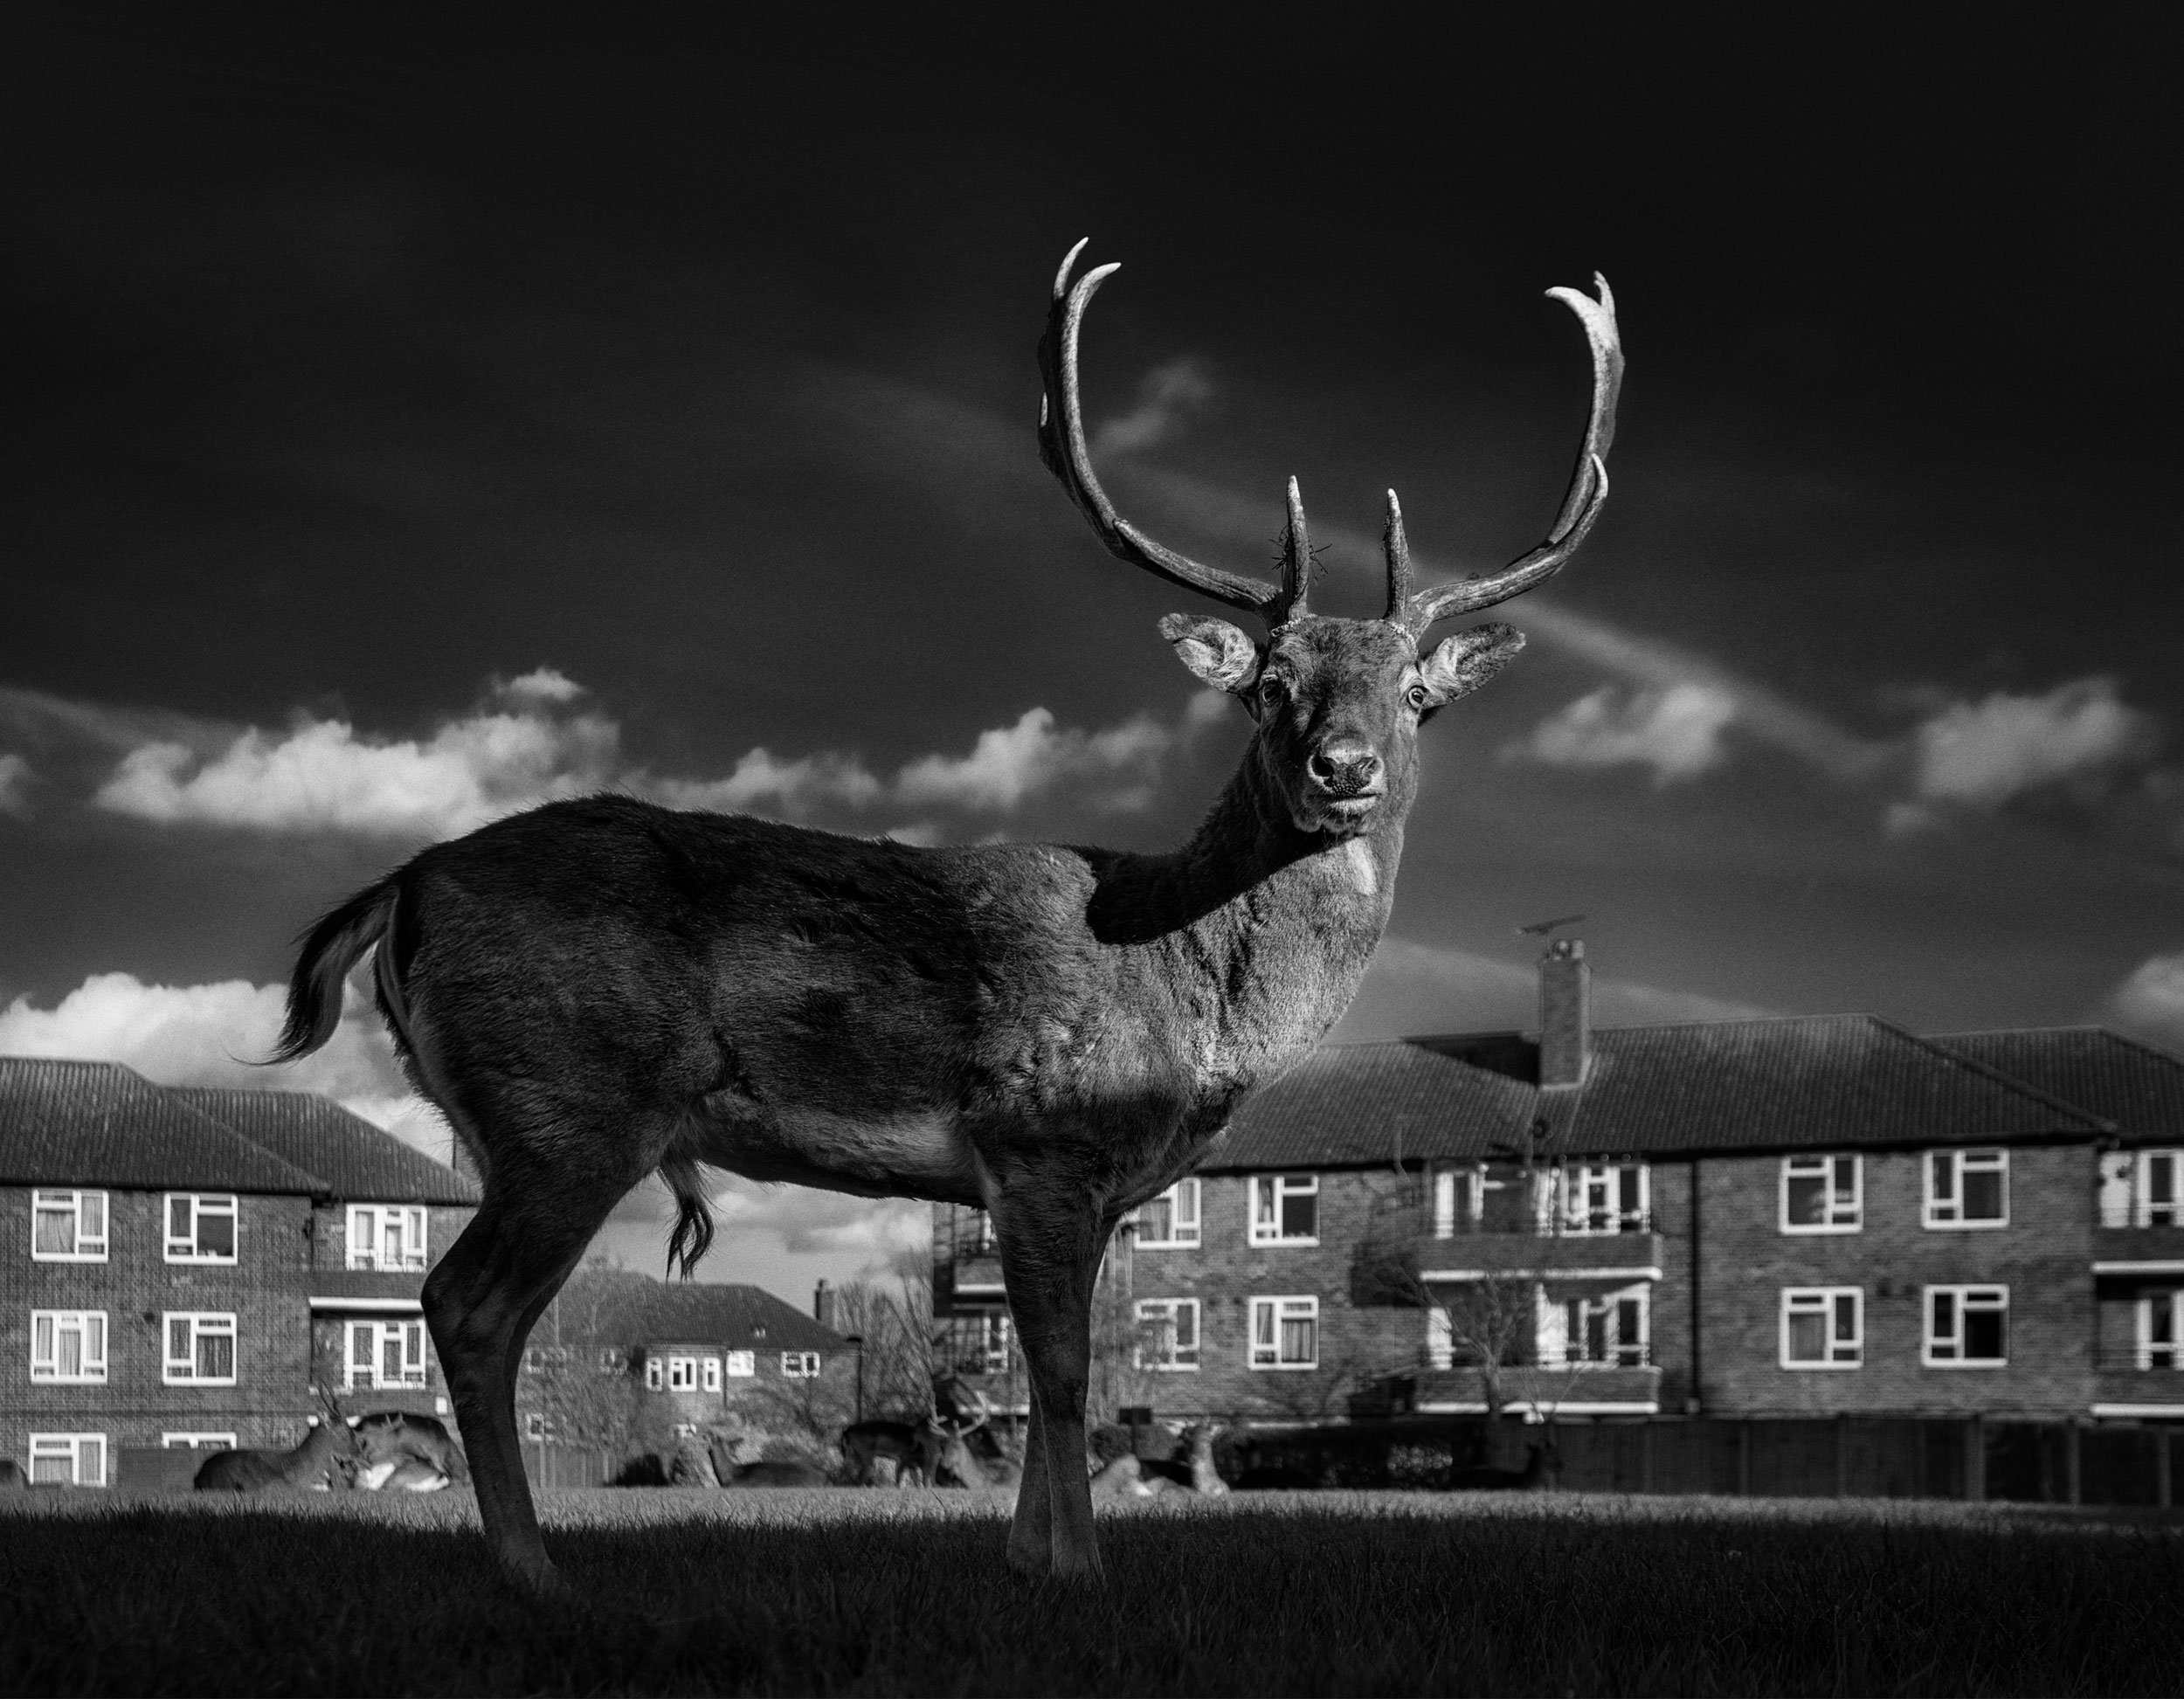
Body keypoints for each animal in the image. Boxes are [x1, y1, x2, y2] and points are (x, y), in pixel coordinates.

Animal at [269, 240, 1620, 1591]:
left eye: (1415, 694)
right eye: (1271, 684)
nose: (1345, 767)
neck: (1192, 993)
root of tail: (405, 884)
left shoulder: (1074, 1189)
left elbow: (1043, 1374)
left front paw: (1025, 1555)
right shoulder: (1042, 1136)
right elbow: (1066, 1377)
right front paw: (1078, 1567)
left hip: (516, 1118)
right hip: (569, 1104)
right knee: (468, 1309)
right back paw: (534, 1567)